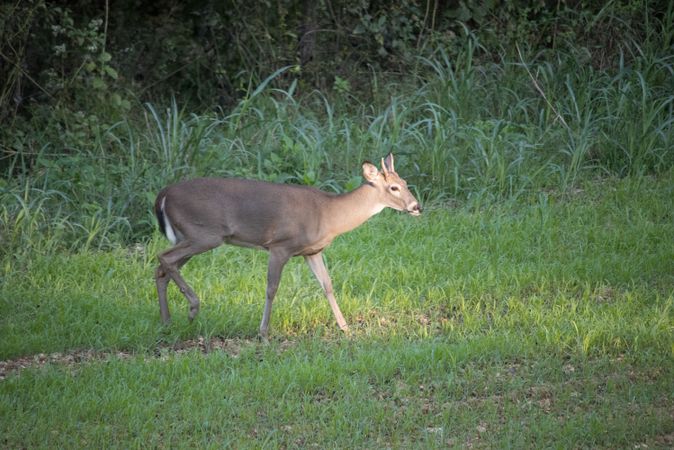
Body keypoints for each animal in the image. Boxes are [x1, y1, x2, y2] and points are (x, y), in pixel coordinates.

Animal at [152, 153, 420, 336]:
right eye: (394, 187)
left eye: (406, 182)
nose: (417, 206)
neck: (329, 215)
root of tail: (163, 194)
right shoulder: (280, 245)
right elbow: (272, 288)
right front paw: (263, 332)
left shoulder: (312, 251)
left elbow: (327, 285)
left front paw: (345, 328)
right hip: (204, 234)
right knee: (164, 257)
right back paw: (192, 308)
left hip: (189, 235)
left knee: (163, 268)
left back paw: (166, 322)